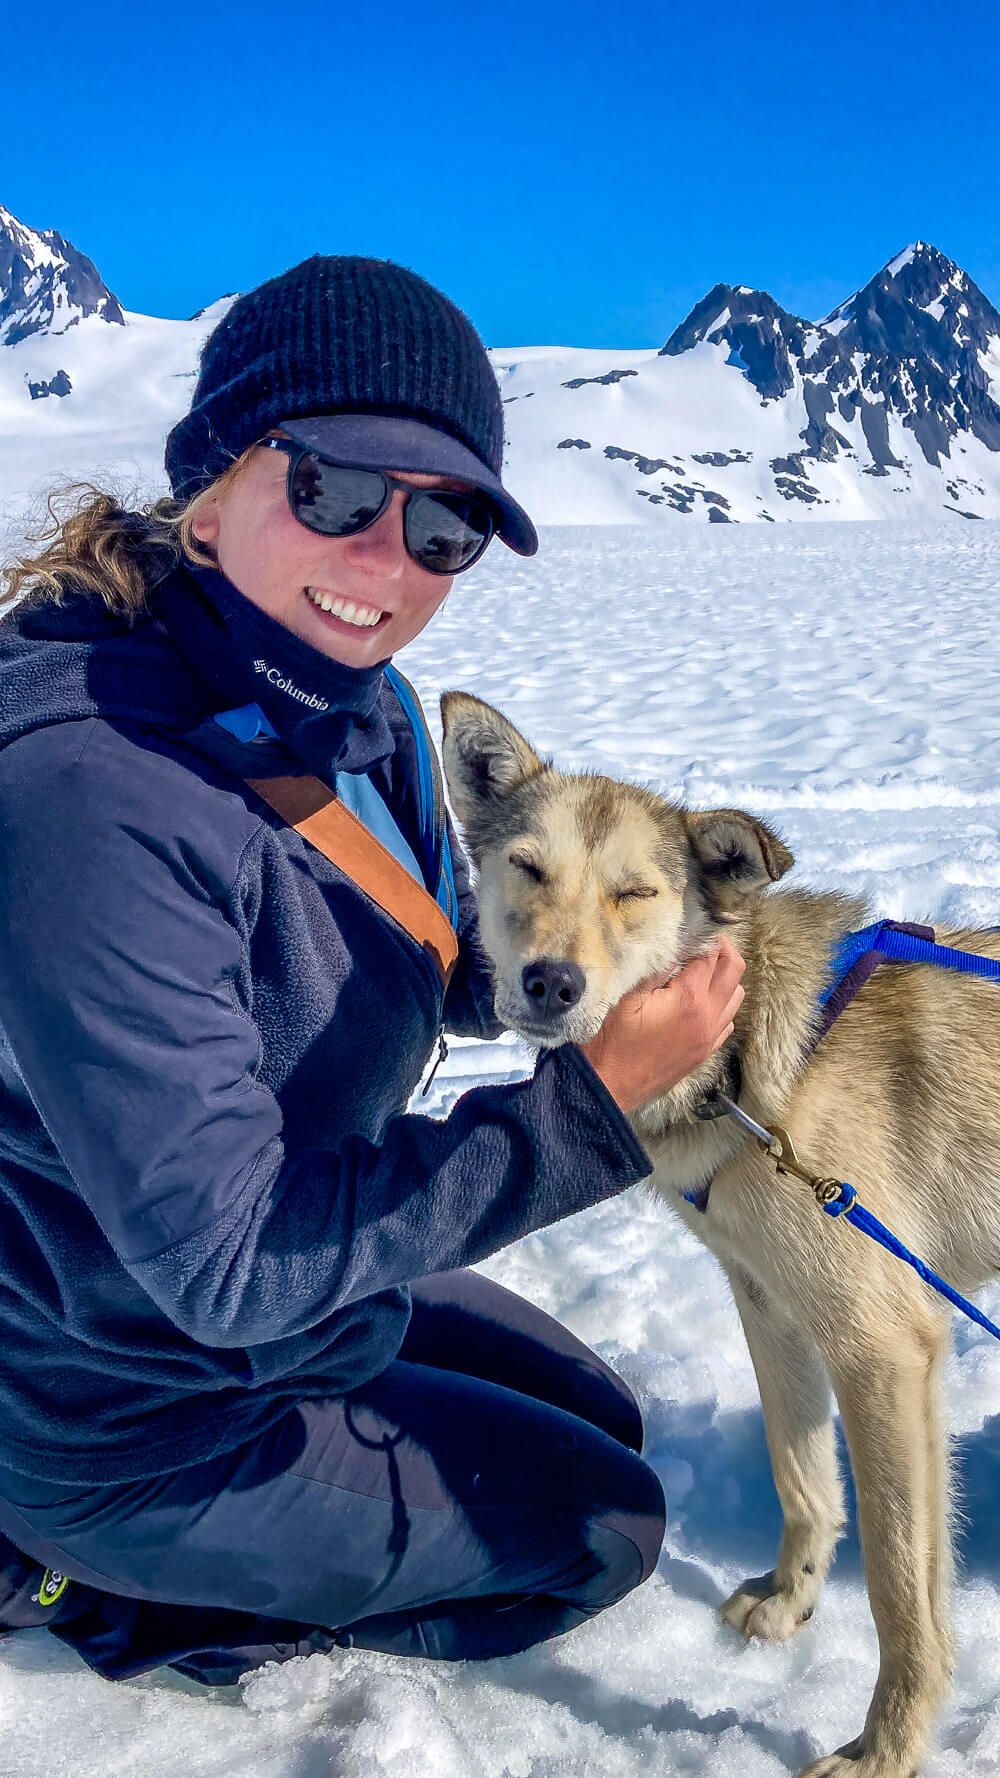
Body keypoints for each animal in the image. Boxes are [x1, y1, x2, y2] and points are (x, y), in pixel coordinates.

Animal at [437, 689, 1000, 1778]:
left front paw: (884, 1749)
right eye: (526, 866)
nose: (552, 982)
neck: (743, 1066)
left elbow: (901, 1592)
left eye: (634, 893)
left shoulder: (884, 1346)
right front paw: (789, 1603)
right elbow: (801, 1477)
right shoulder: (771, 1306)